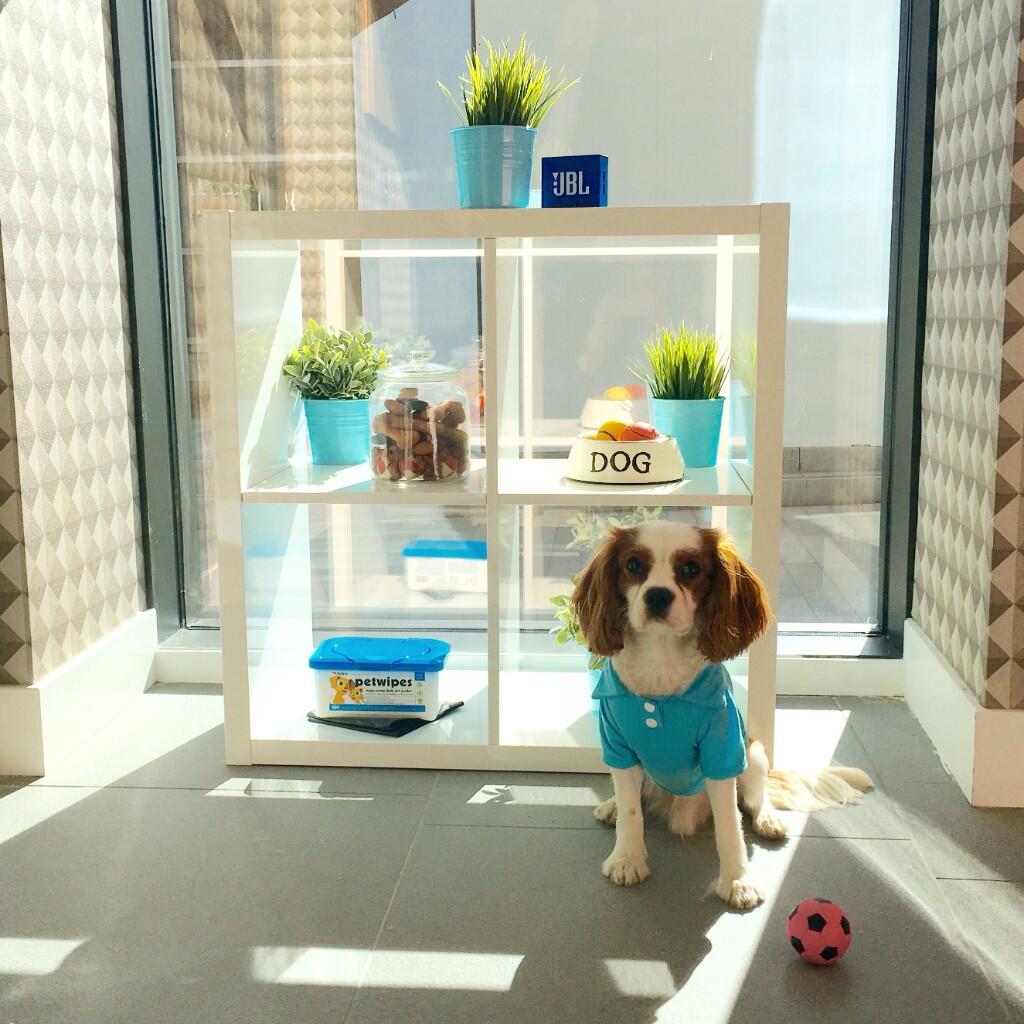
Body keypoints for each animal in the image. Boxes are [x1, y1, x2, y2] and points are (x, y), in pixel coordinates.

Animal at [572, 521, 872, 909]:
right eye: (634, 565)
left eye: (690, 569)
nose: (657, 596)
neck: (660, 658)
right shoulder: (617, 747)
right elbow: (631, 813)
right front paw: (627, 858)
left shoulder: (724, 752)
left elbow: (730, 824)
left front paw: (738, 880)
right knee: (637, 796)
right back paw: (611, 806)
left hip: (754, 753)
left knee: (756, 799)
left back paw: (769, 820)